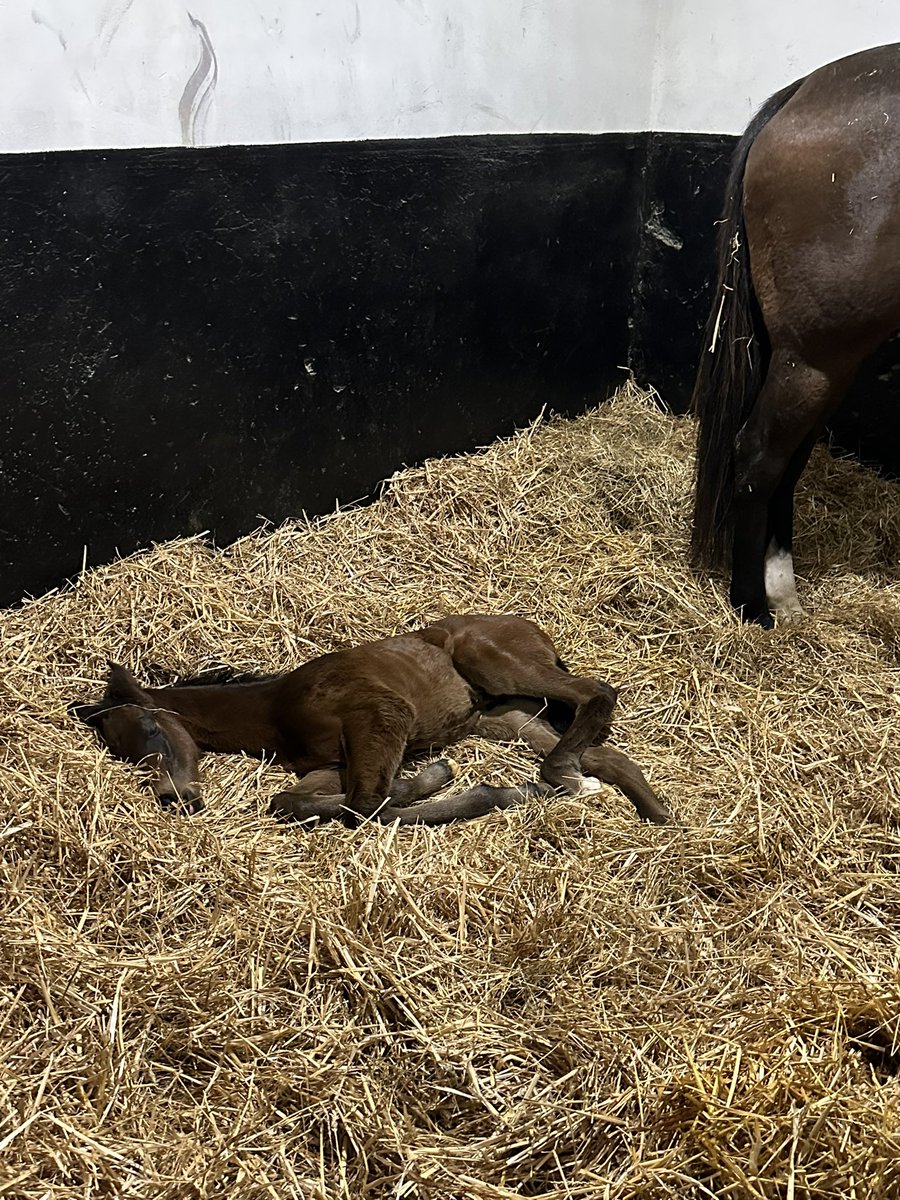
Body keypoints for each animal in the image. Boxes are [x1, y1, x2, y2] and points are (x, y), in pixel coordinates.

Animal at [74, 619, 672, 825]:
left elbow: (369, 805)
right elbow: (289, 802)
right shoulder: (327, 764)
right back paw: (652, 810)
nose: (174, 798)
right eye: (120, 751)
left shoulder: (381, 717)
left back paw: (557, 775)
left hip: (496, 665)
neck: (274, 707)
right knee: (604, 752)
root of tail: (529, 629)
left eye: (151, 731)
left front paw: (461, 785)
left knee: (597, 692)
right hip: (505, 717)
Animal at [691, 44, 900, 628]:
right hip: (816, 354)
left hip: (820, 359)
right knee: (761, 456)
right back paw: (752, 605)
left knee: (786, 460)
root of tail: (798, 94)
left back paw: (780, 590)